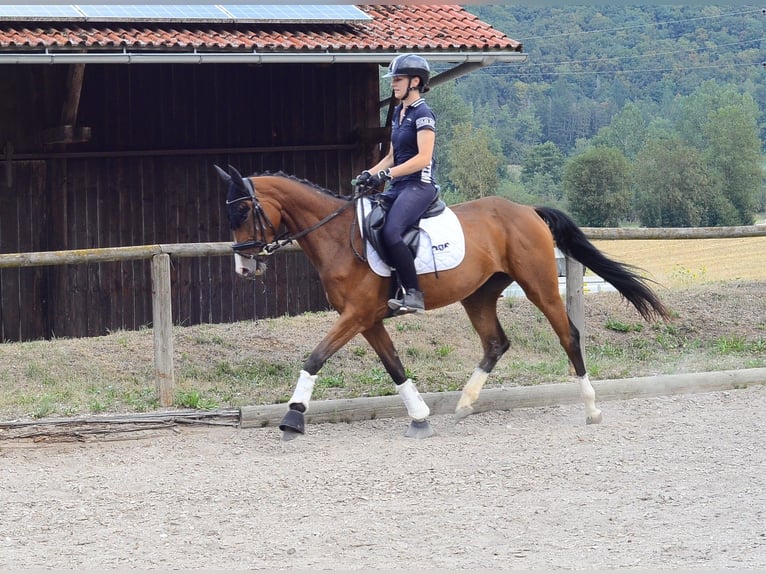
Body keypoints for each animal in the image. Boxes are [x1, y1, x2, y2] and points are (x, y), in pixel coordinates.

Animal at [214, 164, 669, 440]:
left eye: (243, 213)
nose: (243, 269)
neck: (339, 236)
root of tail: (526, 210)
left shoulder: (356, 315)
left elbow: (315, 357)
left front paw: (293, 417)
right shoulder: (367, 319)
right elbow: (395, 367)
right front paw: (419, 417)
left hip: (538, 283)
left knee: (568, 335)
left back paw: (591, 409)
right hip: (479, 295)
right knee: (496, 342)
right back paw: (465, 404)